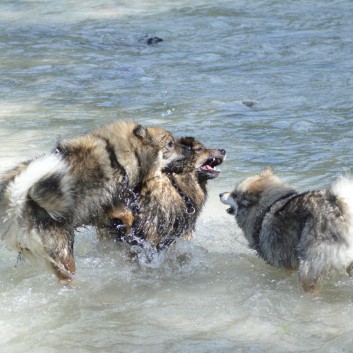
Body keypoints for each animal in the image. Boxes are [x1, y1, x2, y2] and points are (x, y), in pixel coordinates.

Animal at [0, 119, 182, 282]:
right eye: (170, 143)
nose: (186, 148)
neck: (120, 153)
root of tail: (15, 204)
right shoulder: (110, 202)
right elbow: (127, 215)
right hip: (64, 249)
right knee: (66, 277)